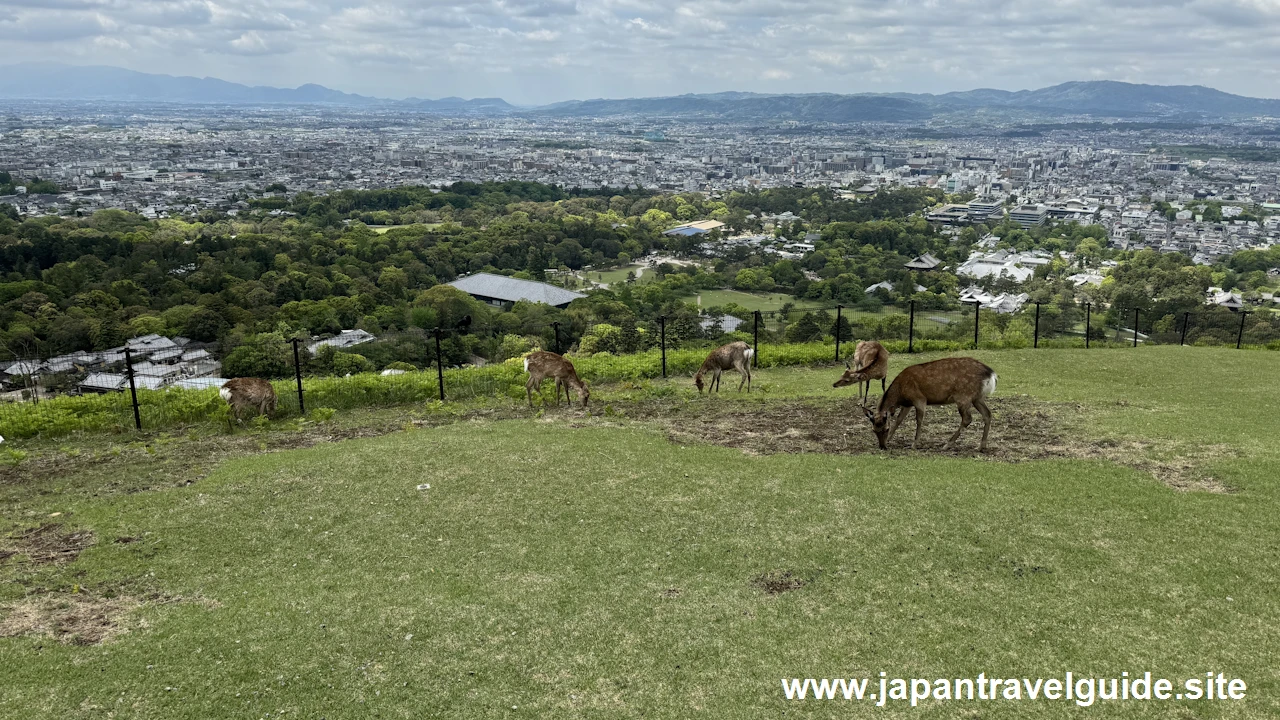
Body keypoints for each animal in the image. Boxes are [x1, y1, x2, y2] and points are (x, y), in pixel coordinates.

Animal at [860, 356, 998, 450]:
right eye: (873, 430)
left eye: (886, 429)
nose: (882, 446)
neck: (900, 394)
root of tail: (991, 375)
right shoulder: (907, 404)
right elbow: (899, 420)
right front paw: (890, 439)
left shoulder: (919, 399)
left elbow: (919, 420)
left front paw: (914, 444)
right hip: (977, 398)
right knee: (987, 414)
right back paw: (981, 446)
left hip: (963, 396)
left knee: (967, 418)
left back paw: (947, 444)